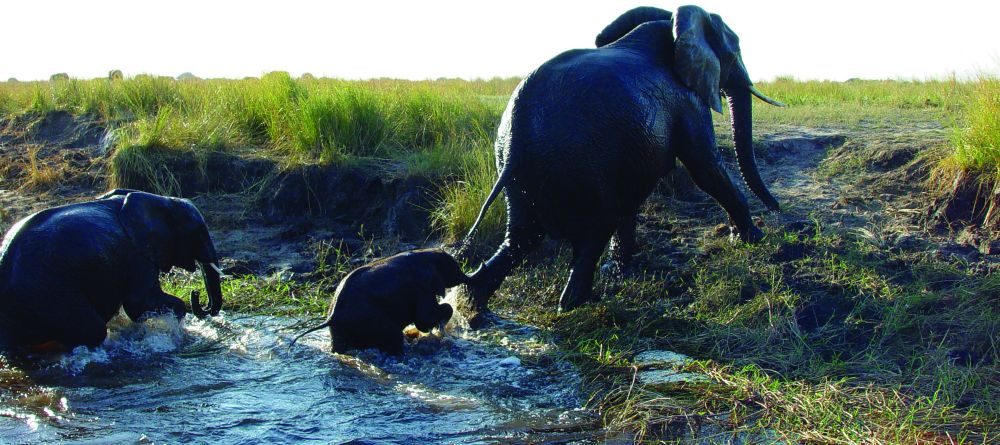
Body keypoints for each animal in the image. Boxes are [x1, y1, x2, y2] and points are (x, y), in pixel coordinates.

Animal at [0, 187, 223, 350]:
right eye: (199, 232)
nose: (196, 293)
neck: (160, 200)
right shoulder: (136, 254)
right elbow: (139, 303)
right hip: (48, 294)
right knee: (93, 329)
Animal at [292, 250, 470, 354]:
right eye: (454, 269)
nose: (468, 277)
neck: (425, 253)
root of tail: (332, 317)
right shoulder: (420, 288)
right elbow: (424, 318)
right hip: (369, 319)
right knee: (394, 337)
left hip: (343, 328)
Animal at [458, 5, 780, 320]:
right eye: (734, 53)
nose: (775, 209)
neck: (672, 25)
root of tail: (517, 136)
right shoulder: (687, 101)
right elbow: (706, 169)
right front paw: (753, 238)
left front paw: (621, 273)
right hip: (582, 167)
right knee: (592, 233)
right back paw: (575, 304)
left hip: (519, 170)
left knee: (521, 238)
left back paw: (475, 308)